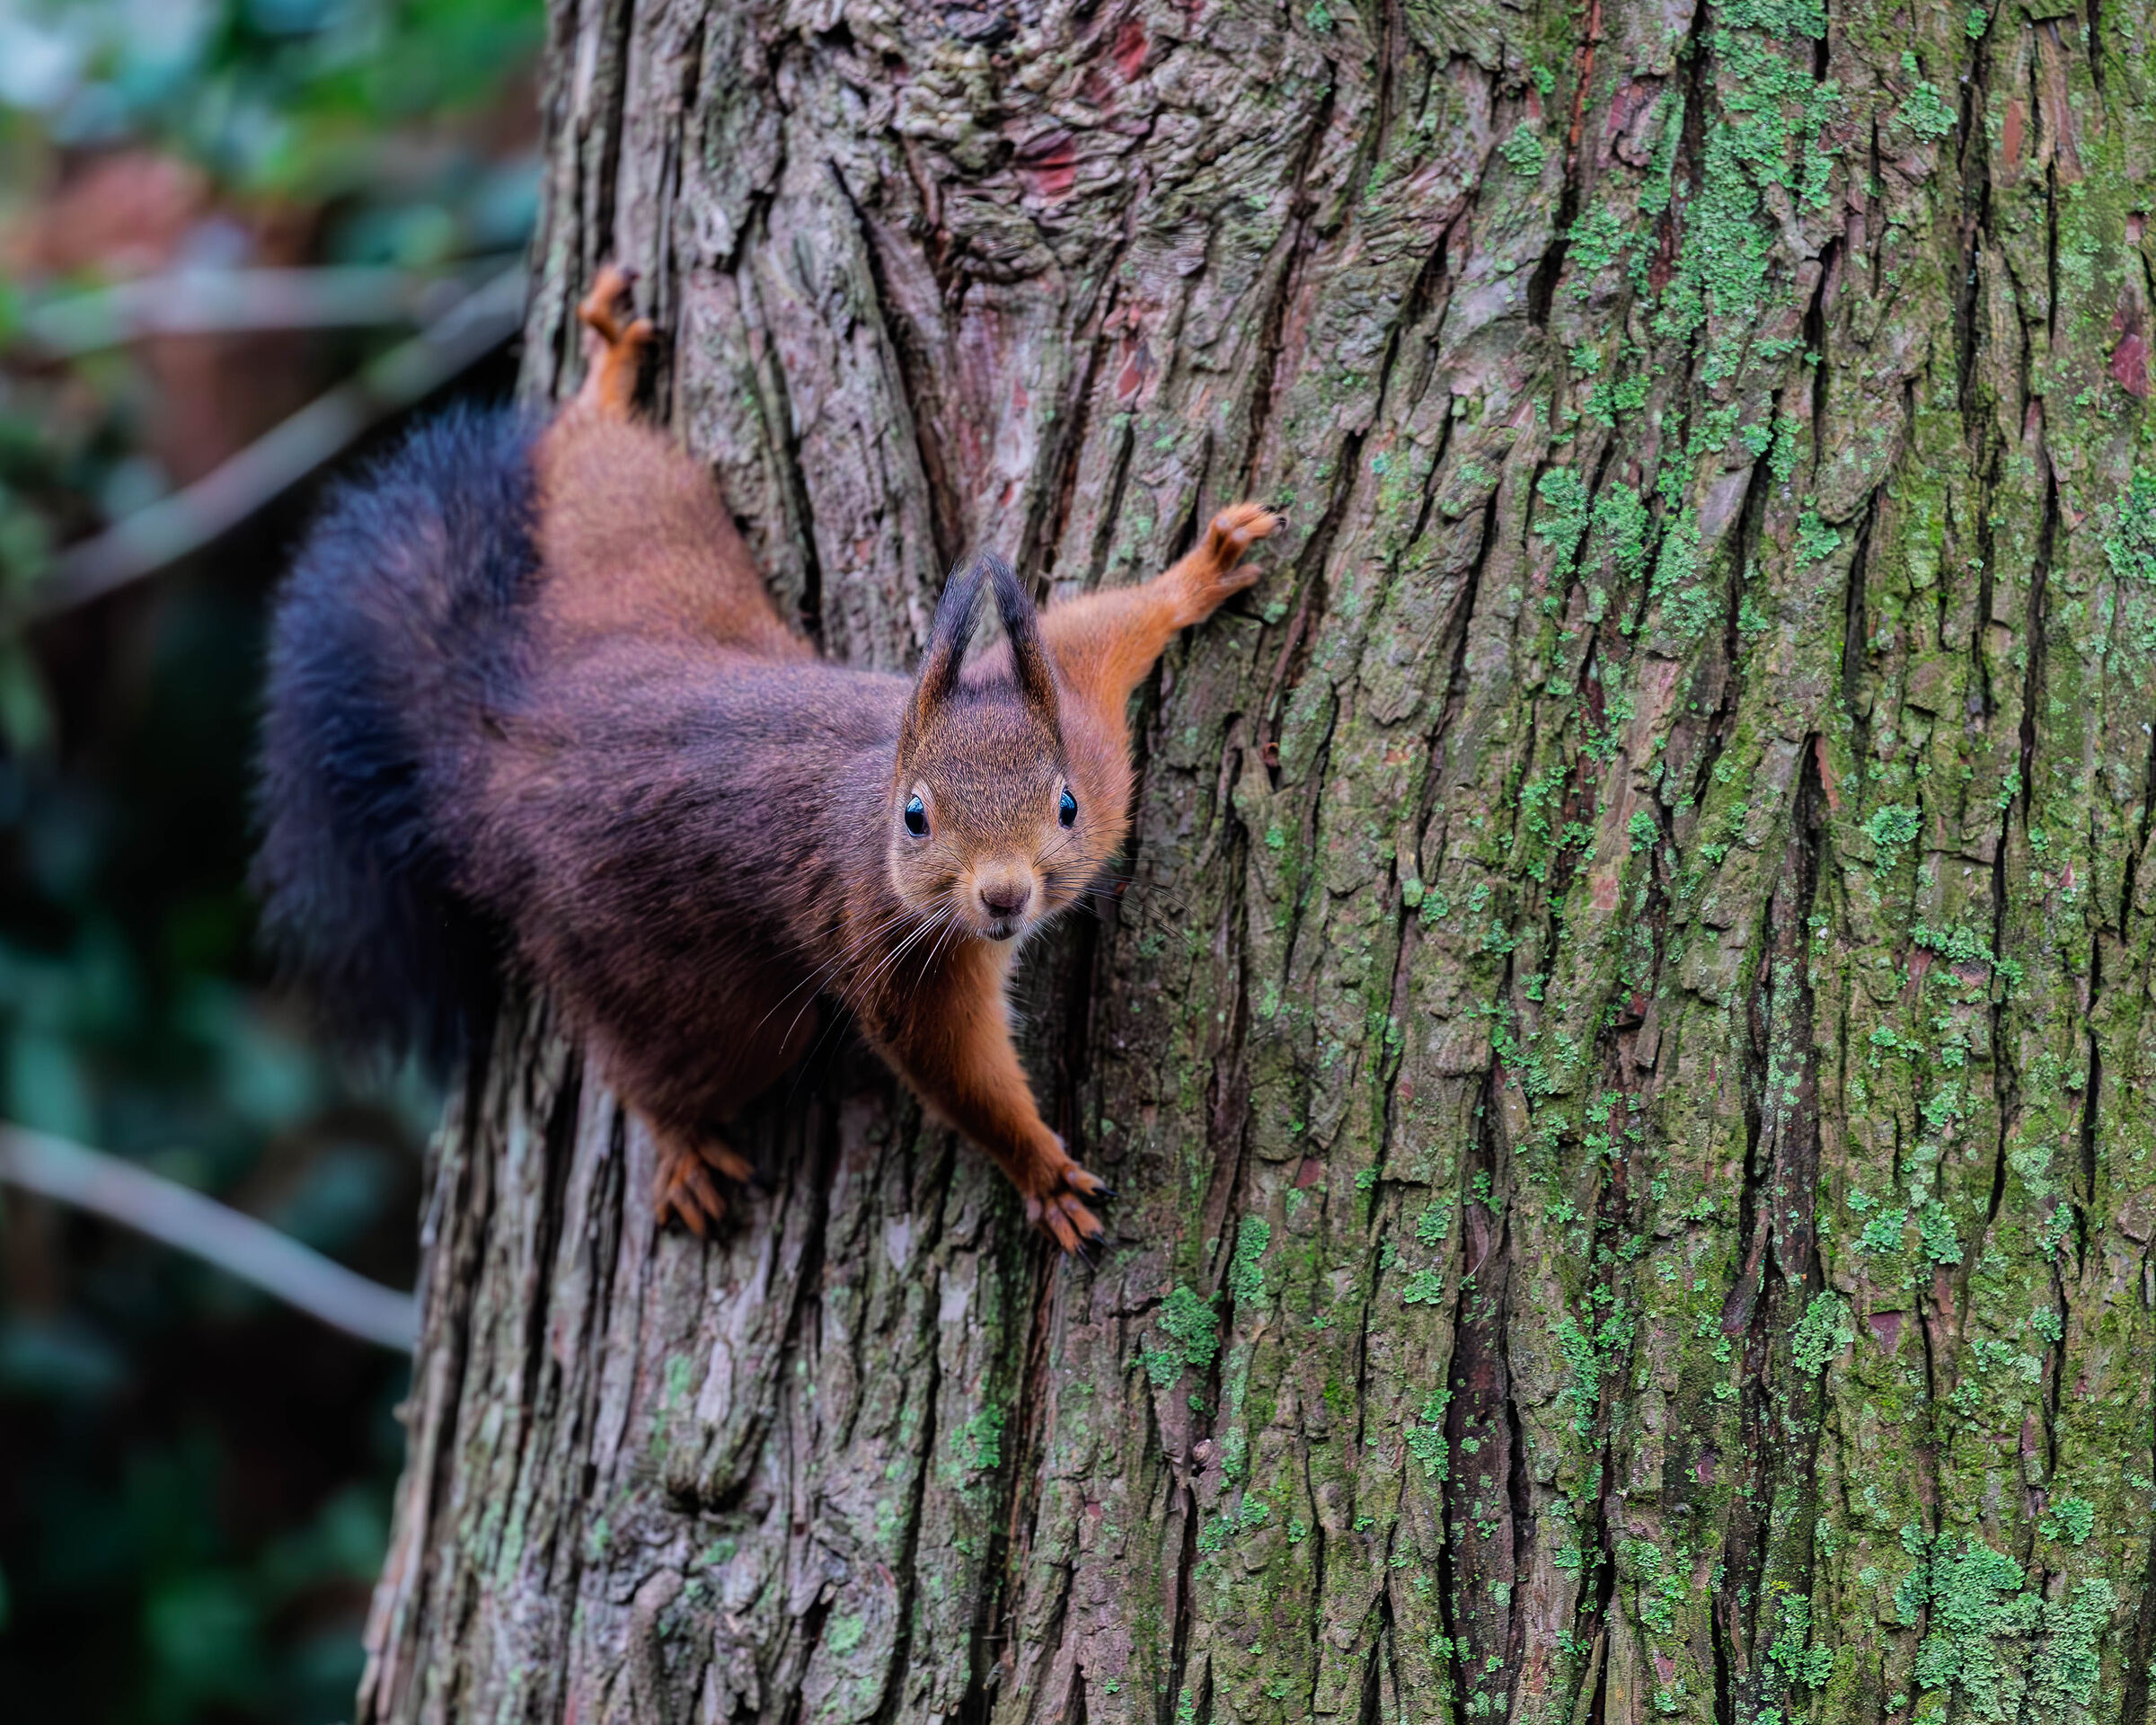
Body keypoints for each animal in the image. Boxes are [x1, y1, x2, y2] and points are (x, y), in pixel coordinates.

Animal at [255, 266, 1278, 1251]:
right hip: (669, 981)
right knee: (661, 1067)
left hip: (637, 558)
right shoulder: (892, 946)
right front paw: (1039, 1172)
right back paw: (681, 1148)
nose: (1002, 896)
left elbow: (1100, 629)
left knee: (598, 467)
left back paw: (606, 379)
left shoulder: (1083, 725)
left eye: (1064, 807)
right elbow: (956, 1071)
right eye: (916, 819)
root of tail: (512, 739)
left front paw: (1197, 574)